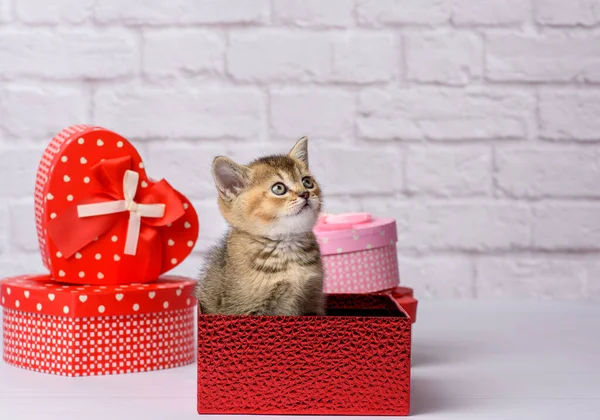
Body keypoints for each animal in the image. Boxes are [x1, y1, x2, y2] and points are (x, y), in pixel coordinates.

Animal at [196, 137, 326, 316]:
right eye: (278, 188)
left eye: (307, 182)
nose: (305, 193)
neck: (286, 246)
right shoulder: (246, 309)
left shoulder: (313, 301)